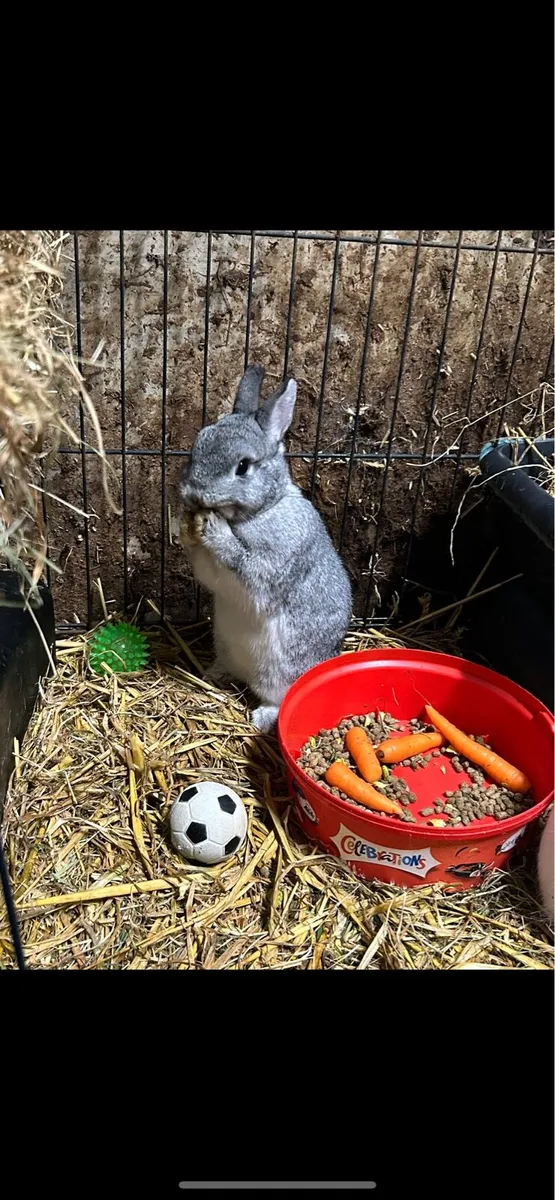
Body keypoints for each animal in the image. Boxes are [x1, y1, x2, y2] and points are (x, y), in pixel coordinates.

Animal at [179, 364, 352, 732]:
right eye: (197, 446)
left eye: (243, 466)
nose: (193, 494)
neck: (258, 512)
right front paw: (184, 526)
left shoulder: (272, 564)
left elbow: (243, 562)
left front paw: (213, 528)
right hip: (225, 645)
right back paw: (212, 675)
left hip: (282, 671)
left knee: (277, 698)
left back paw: (261, 717)